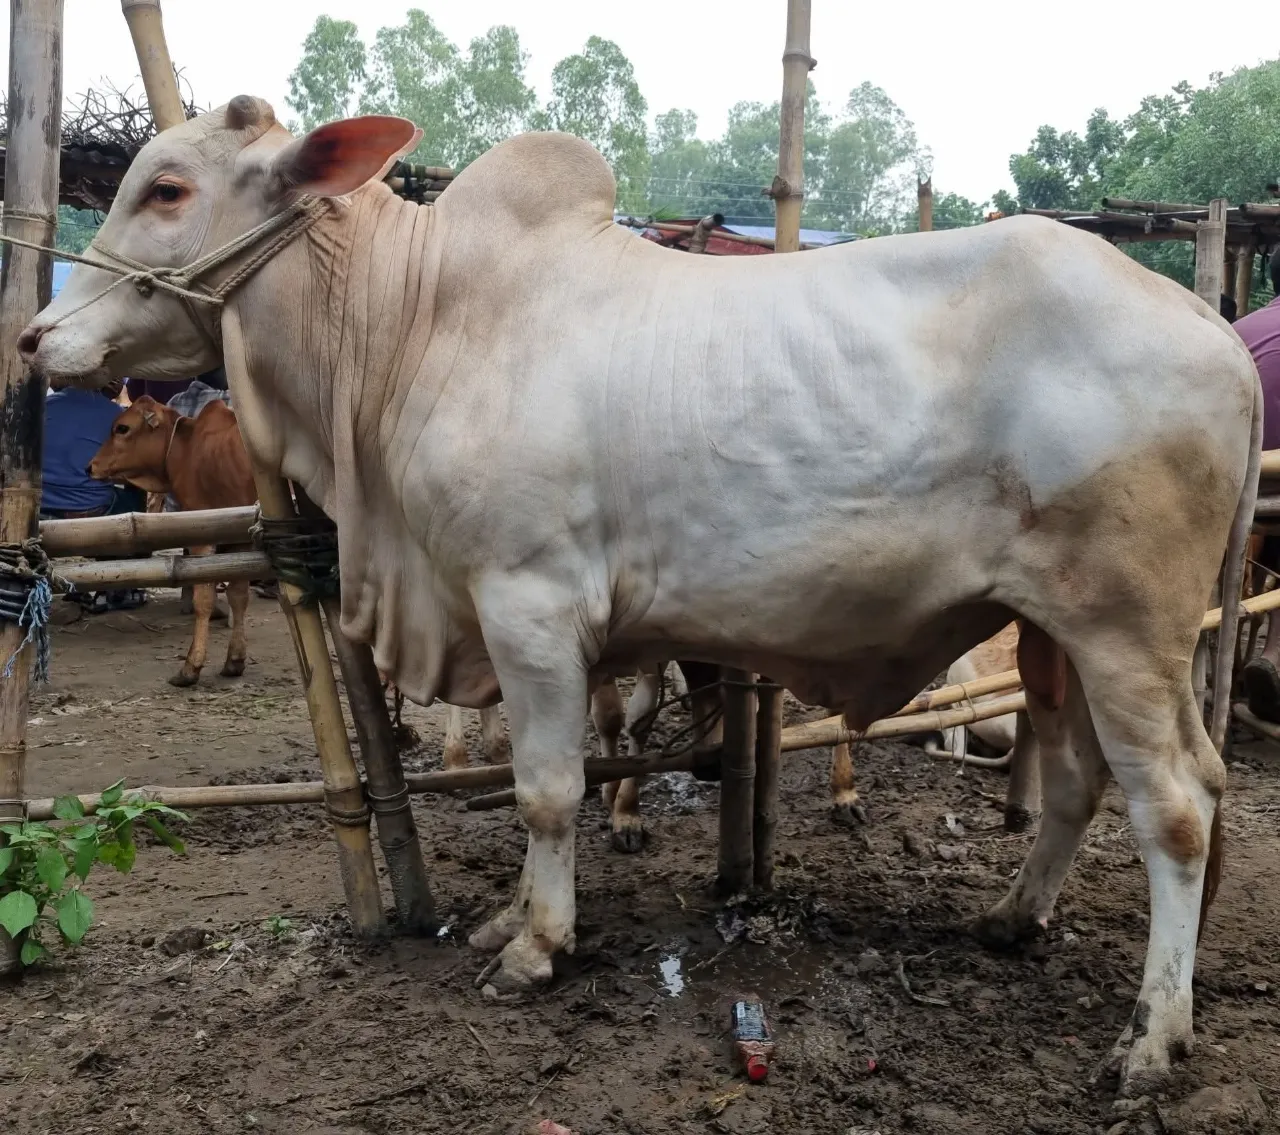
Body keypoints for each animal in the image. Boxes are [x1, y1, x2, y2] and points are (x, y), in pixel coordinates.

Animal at [87, 396, 257, 687]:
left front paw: (191, 668)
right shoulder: (238, 538)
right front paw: (234, 661)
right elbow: (238, 596)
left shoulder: (203, 536)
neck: (185, 447)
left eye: (122, 428)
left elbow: (203, 601)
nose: (91, 466)